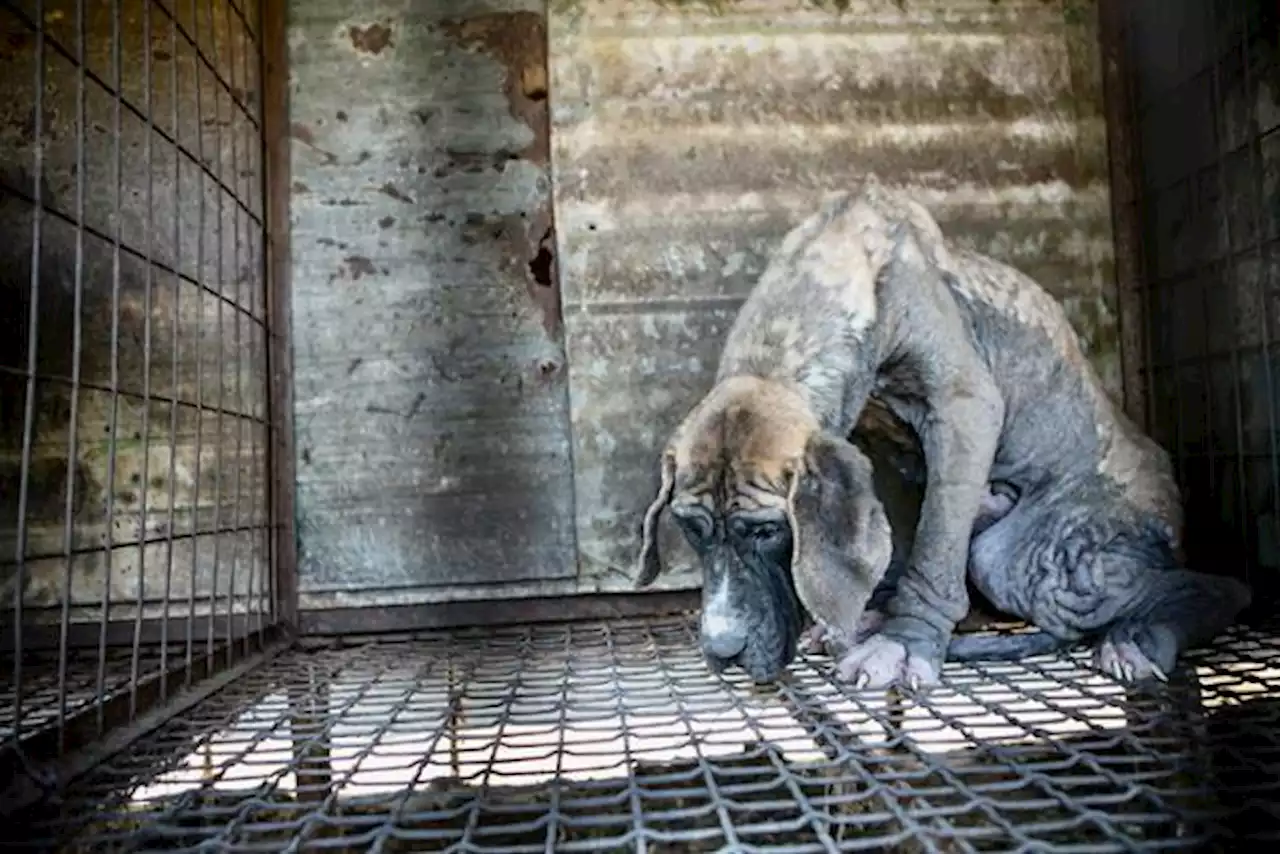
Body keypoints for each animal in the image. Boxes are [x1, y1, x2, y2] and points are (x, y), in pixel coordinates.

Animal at [632, 176, 1249, 691]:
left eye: (766, 532)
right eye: (690, 529)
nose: (723, 649)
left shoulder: (963, 408)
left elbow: (934, 543)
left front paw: (903, 643)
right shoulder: (871, 447)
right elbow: (898, 538)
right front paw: (867, 613)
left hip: (1020, 555)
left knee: (1209, 587)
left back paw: (1139, 638)